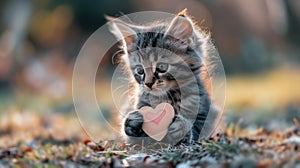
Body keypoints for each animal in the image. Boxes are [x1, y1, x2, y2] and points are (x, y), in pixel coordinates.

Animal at [108, 9, 220, 145]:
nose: (148, 83)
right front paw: (134, 120)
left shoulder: (205, 111)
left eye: (162, 67)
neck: (170, 96)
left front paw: (181, 128)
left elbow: (195, 128)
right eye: (140, 70)